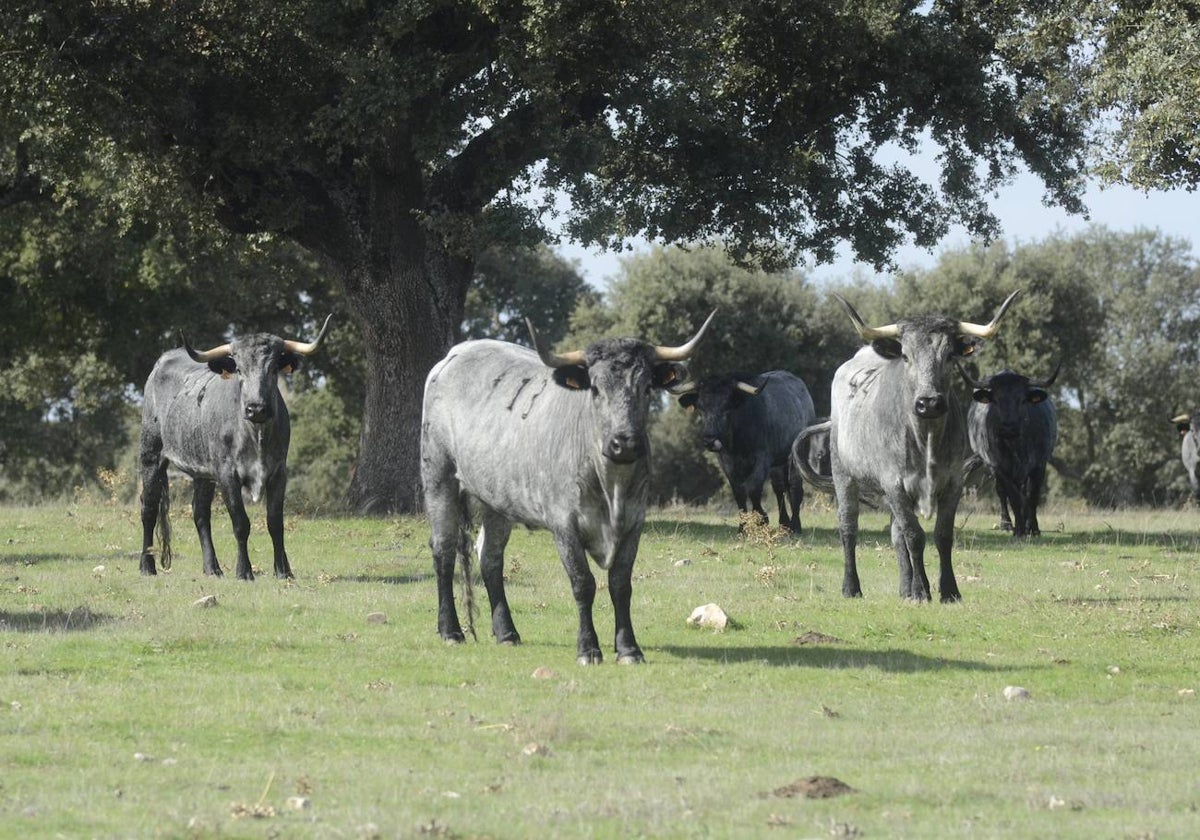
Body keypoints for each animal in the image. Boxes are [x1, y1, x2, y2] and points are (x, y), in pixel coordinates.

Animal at [137, 314, 333, 578]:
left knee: (200, 513)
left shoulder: (279, 472)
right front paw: (244, 571)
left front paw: (283, 571)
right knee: (148, 508)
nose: (256, 408)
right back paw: (147, 566)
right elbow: (241, 523)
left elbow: (275, 522)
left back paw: (212, 568)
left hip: (202, 472)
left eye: (273, 368)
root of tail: (162, 361)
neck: (256, 434)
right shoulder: (227, 474)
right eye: (239, 369)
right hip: (151, 454)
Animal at [422, 309, 710, 662]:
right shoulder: (564, 524)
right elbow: (583, 583)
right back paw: (451, 630)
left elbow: (620, 584)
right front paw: (588, 648)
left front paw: (628, 648)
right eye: (595, 390)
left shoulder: (634, 523)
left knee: (489, 557)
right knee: (444, 549)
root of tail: (455, 354)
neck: (611, 486)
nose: (625, 443)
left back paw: (507, 632)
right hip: (438, 476)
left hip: (497, 499)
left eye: (646, 389)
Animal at [672, 369, 820, 528]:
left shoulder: (762, 459)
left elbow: (754, 489)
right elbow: (739, 493)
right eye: (700, 408)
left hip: (795, 455)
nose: (709, 440)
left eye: (727, 407)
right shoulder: (726, 462)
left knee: (794, 486)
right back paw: (784, 523)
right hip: (778, 462)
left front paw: (761, 519)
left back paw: (795, 525)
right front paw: (742, 527)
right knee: (779, 487)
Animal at [816, 291, 1022, 600]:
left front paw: (948, 590)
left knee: (895, 533)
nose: (929, 403)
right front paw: (922, 590)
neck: (927, 437)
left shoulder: (953, 481)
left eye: (949, 355)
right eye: (905, 356)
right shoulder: (893, 482)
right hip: (844, 474)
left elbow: (942, 534)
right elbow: (914, 535)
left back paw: (904, 588)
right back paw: (852, 587)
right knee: (849, 527)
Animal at [964, 364, 1060, 535]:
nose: (1008, 428)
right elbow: (1013, 498)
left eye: (1022, 400)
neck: (1016, 446)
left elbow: (1031, 496)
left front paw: (1033, 528)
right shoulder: (999, 467)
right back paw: (1007, 523)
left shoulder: (1039, 465)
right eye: (995, 400)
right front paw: (1019, 530)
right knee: (1002, 493)